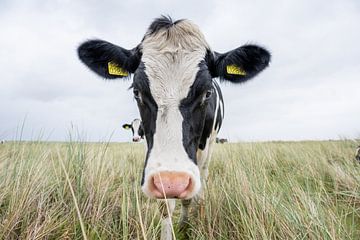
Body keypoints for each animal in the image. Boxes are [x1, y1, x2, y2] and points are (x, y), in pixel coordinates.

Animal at [78, 15, 270, 239]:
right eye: (136, 91)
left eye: (207, 92)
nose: (172, 182)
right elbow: (165, 206)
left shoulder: (203, 149)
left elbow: (191, 195)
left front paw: (185, 224)